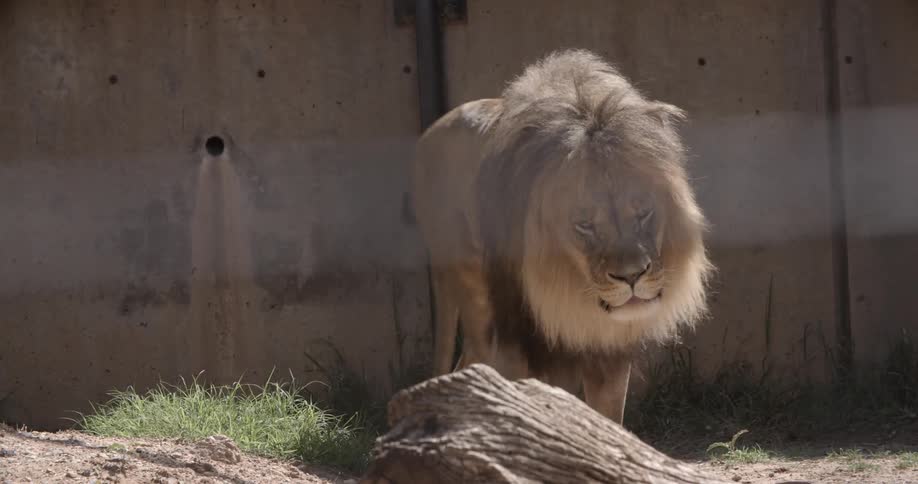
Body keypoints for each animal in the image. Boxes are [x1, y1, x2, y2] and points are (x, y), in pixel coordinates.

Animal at [410, 49, 713, 424]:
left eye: (643, 211)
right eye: (584, 224)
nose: (632, 277)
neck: (571, 292)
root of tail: (428, 133)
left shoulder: (608, 350)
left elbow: (608, 419)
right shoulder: (516, 340)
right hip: (475, 301)